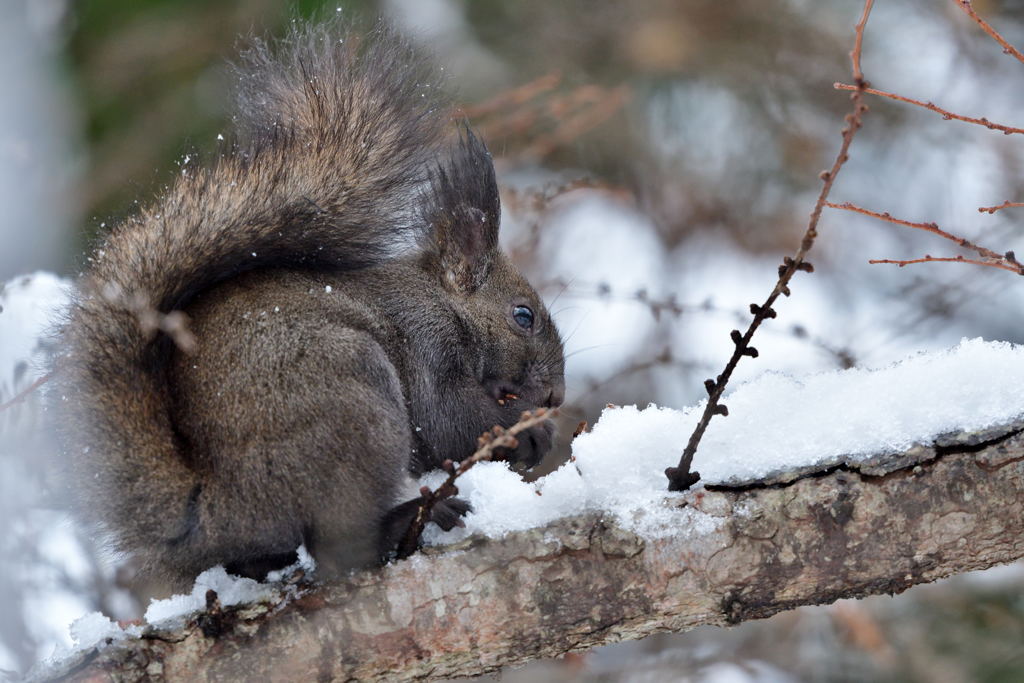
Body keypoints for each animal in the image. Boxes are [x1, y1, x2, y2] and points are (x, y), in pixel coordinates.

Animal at [54, 21, 569, 589]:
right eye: (523, 316)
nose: (557, 396)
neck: (442, 301)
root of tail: (213, 513)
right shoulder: (426, 343)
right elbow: (448, 421)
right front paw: (529, 432)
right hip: (354, 409)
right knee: (340, 550)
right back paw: (412, 519)